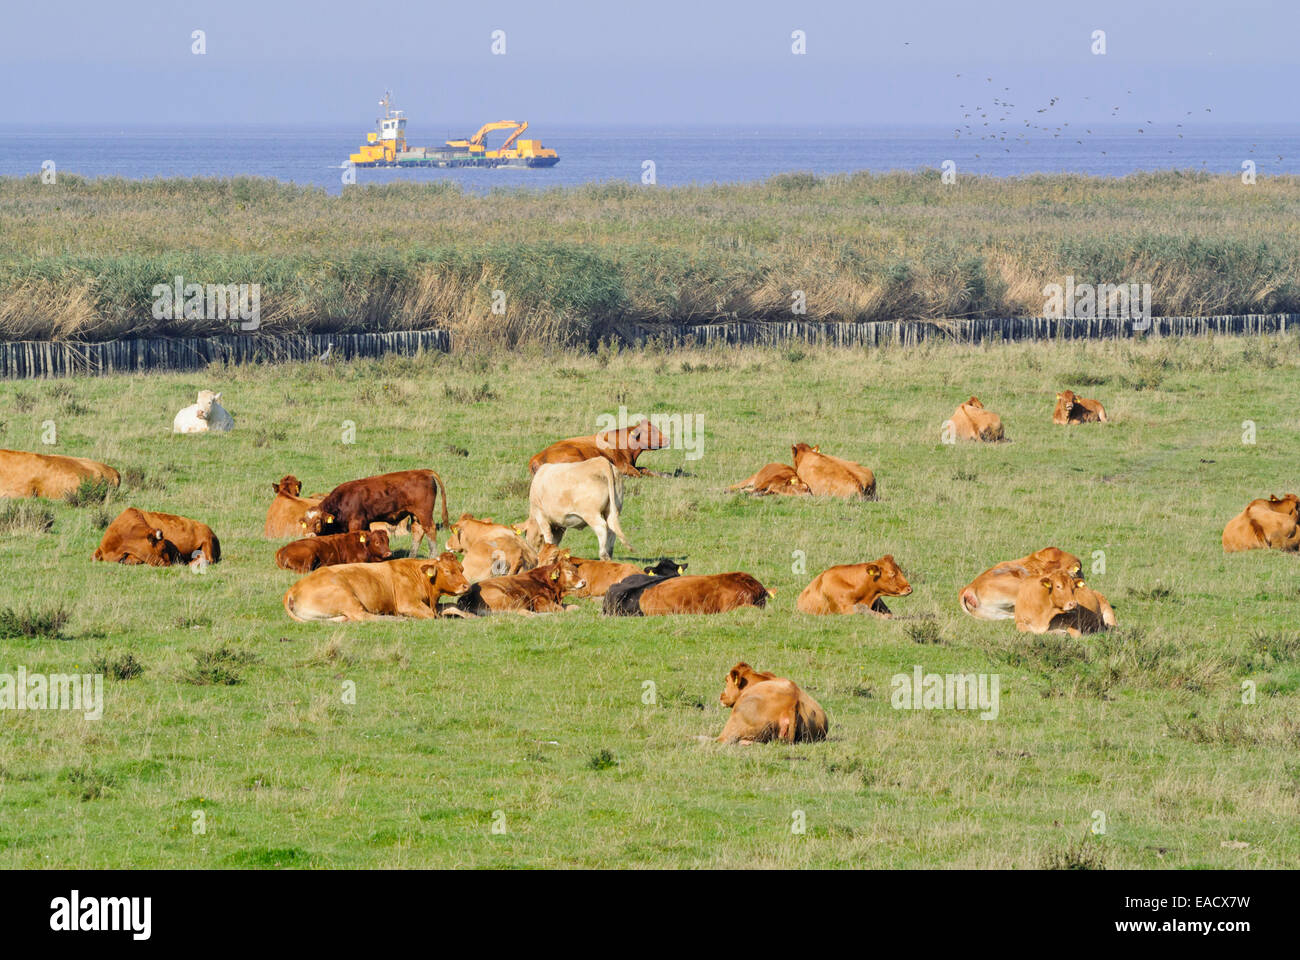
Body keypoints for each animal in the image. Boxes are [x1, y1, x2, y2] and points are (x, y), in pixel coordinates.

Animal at [282, 554, 470, 621]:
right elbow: (431, 614)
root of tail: (294, 588)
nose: (466, 586)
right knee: (363, 616)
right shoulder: (408, 603)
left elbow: (451, 606)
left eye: (461, 568)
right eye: (447, 571)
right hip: (346, 596)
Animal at [304, 468, 452, 556]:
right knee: (418, 532)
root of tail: (424, 471)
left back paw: (433, 556)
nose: (309, 535)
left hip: (424, 513)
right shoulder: (364, 524)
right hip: (415, 515)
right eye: (305, 523)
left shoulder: (356, 524)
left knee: (430, 530)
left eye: (318, 521)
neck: (342, 502)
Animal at [452, 546, 585, 613]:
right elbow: (561, 609)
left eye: (576, 570)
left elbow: (574, 606)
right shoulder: (539, 600)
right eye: (568, 572)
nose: (584, 581)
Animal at [527, 416, 670, 476]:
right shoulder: (623, 465)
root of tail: (537, 456)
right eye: (650, 431)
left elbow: (644, 469)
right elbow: (637, 473)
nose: (668, 439)